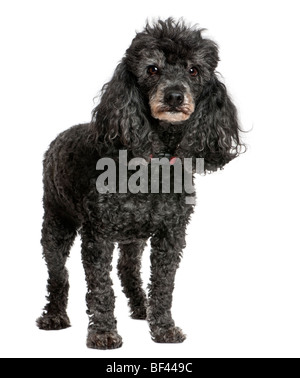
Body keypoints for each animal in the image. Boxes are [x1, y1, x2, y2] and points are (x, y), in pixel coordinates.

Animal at [37, 17, 244, 348]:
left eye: (193, 70)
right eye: (152, 69)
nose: (174, 96)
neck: (152, 166)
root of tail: (59, 137)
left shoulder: (171, 234)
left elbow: (163, 285)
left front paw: (163, 327)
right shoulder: (97, 236)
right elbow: (100, 288)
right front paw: (104, 332)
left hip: (133, 236)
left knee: (127, 269)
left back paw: (141, 307)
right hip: (57, 222)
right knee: (58, 274)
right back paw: (54, 316)